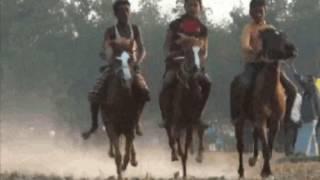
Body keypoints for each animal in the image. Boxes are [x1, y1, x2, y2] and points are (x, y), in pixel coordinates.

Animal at [162, 45, 205, 178]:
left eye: (201, 53)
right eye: (188, 53)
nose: (196, 69)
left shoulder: (189, 123)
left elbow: (187, 143)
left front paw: (185, 172)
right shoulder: (177, 123)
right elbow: (176, 140)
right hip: (169, 121)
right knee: (170, 135)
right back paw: (174, 155)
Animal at [231, 28, 296, 179]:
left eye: (284, 36)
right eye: (273, 38)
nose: (292, 48)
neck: (269, 90)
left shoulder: (274, 121)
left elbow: (269, 146)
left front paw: (266, 169)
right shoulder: (261, 119)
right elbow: (266, 147)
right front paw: (266, 171)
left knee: (254, 135)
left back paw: (253, 159)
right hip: (239, 120)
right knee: (240, 145)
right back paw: (241, 171)